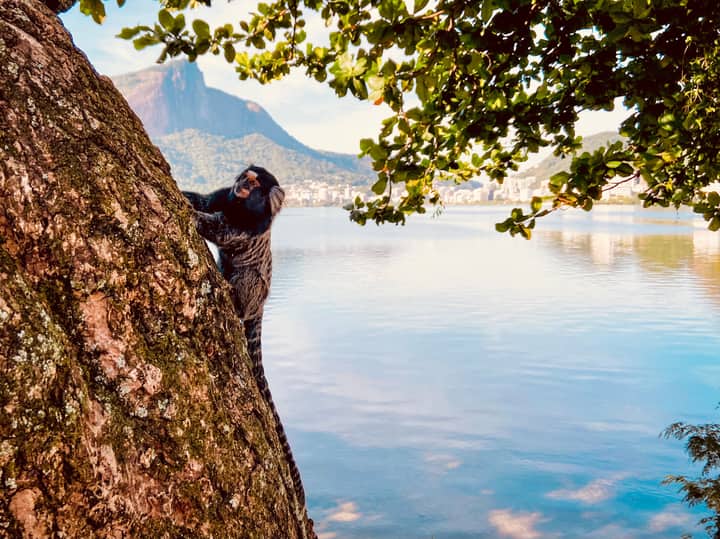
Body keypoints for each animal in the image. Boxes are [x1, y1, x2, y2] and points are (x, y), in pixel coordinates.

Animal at [182, 165, 308, 512]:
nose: (241, 186)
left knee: (248, 277)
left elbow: (222, 231)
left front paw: (192, 215)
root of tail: (260, 306)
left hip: (254, 291)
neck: (240, 206)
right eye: (243, 178)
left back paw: (234, 298)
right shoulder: (223, 197)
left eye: (254, 186)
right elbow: (205, 200)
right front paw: (185, 195)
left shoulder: (249, 228)